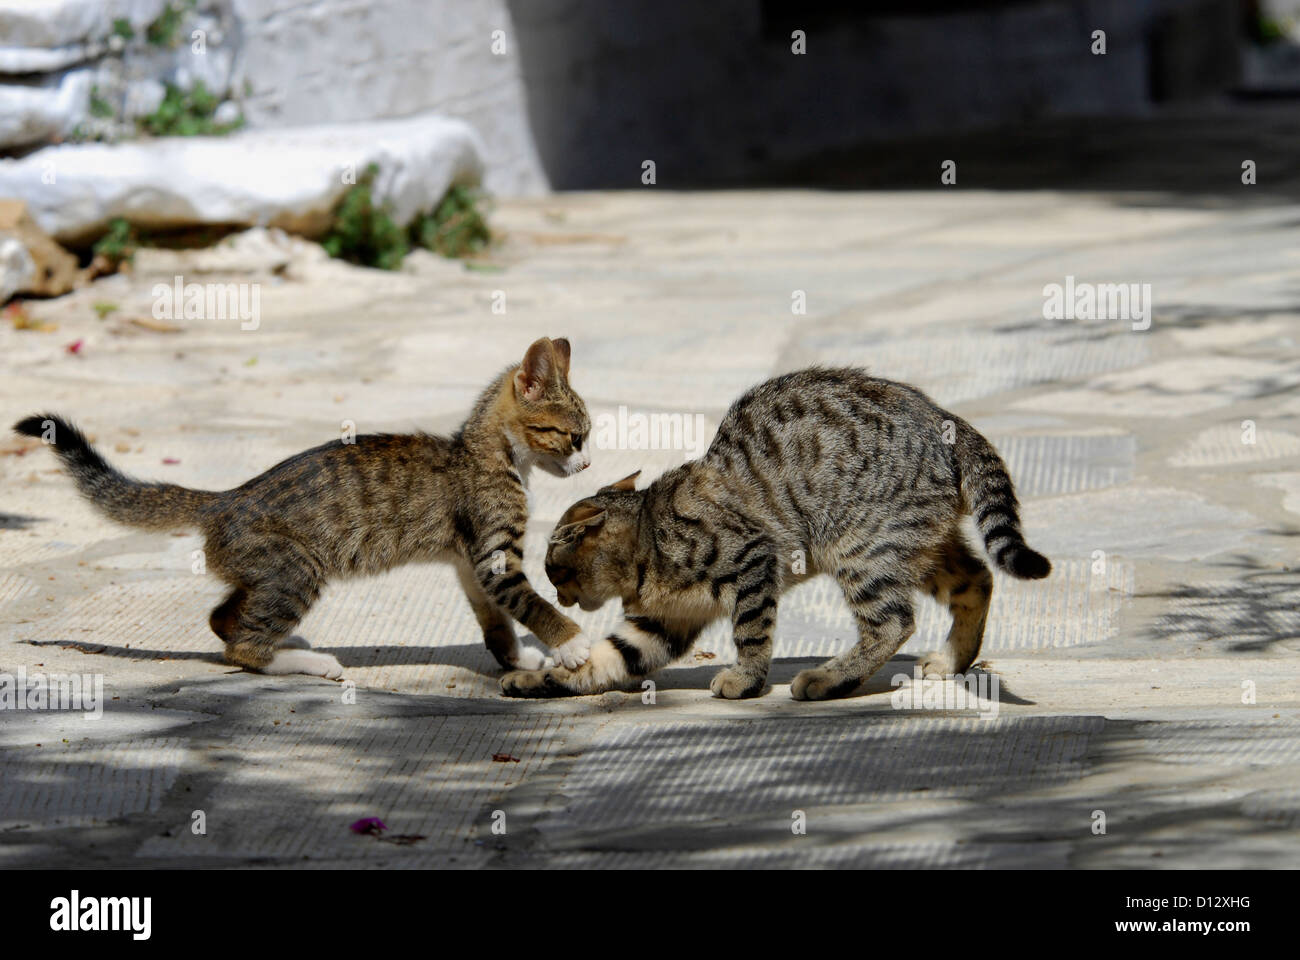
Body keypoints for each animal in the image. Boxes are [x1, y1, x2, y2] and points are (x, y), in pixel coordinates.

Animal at [16, 333, 595, 676]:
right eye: (575, 438)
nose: (589, 465)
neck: (488, 453)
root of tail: (226, 497)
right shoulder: (494, 556)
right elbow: (531, 602)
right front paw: (570, 644)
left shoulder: (469, 561)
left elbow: (495, 618)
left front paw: (516, 657)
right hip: (299, 568)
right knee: (242, 651)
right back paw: (302, 663)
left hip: (269, 573)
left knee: (222, 617)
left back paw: (284, 644)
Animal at [501, 361, 1050, 697]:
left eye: (554, 572)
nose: (562, 598)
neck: (649, 547)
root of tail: (944, 416)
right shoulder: (660, 623)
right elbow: (602, 660)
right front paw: (536, 681)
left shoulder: (752, 559)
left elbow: (751, 630)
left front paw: (744, 680)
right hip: (921, 546)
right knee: (978, 579)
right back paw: (952, 661)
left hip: (862, 547)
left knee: (892, 622)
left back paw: (829, 680)